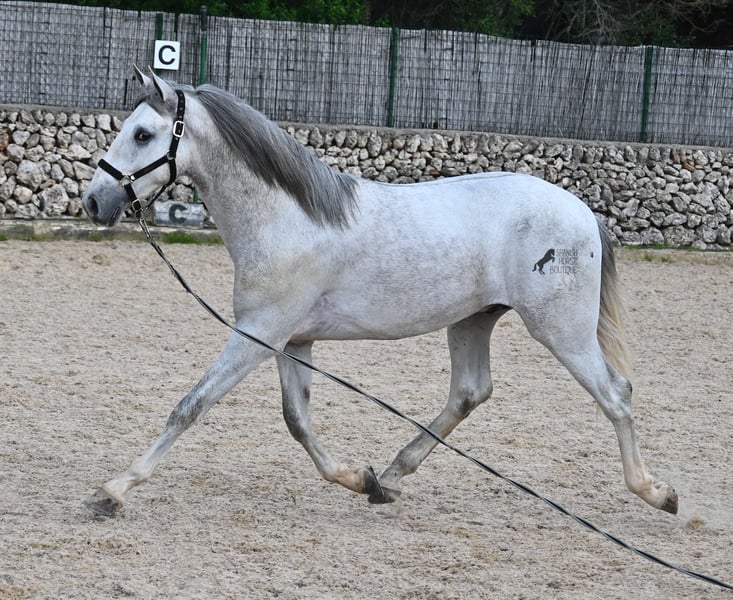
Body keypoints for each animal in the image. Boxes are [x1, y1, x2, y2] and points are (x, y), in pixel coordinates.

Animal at [81, 66, 678, 517]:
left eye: (142, 134)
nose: (93, 201)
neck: (287, 219)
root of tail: (582, 211)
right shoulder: (292, 341)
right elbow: (298, 422)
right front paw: (359, 478)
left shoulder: (257, 334)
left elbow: (191, 405)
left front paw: (113, 489)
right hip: (474, 319)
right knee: (469, 392)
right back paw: (391, 476)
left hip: (560, 330)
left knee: (615, 394)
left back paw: (657, 493)